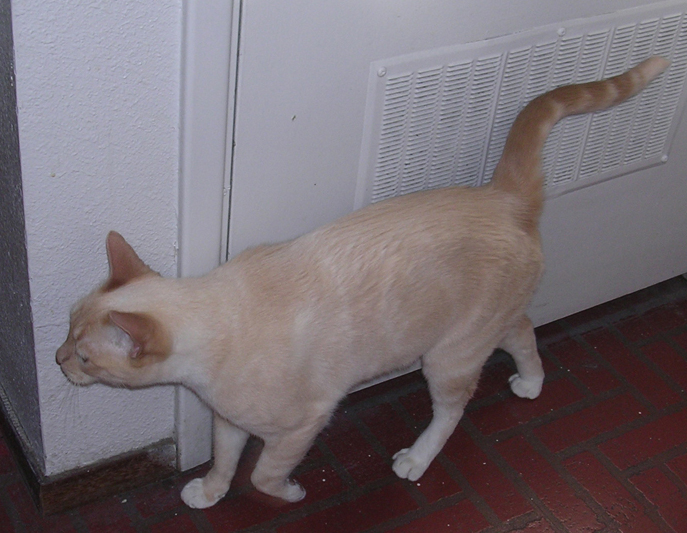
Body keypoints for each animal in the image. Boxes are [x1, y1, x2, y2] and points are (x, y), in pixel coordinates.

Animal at [56, 56, 669, 509]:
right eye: (64, 333)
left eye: (85, 359)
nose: (57, 361)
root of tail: (502, 196)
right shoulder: (228, 422)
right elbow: (225, 464)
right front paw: (207, 495)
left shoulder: (302, 423)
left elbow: (263, 476)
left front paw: (290, 493)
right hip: (480, 331)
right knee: (523, 329)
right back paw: (532, 384)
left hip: (446, 357)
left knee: (453, 409)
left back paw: (416, 458)